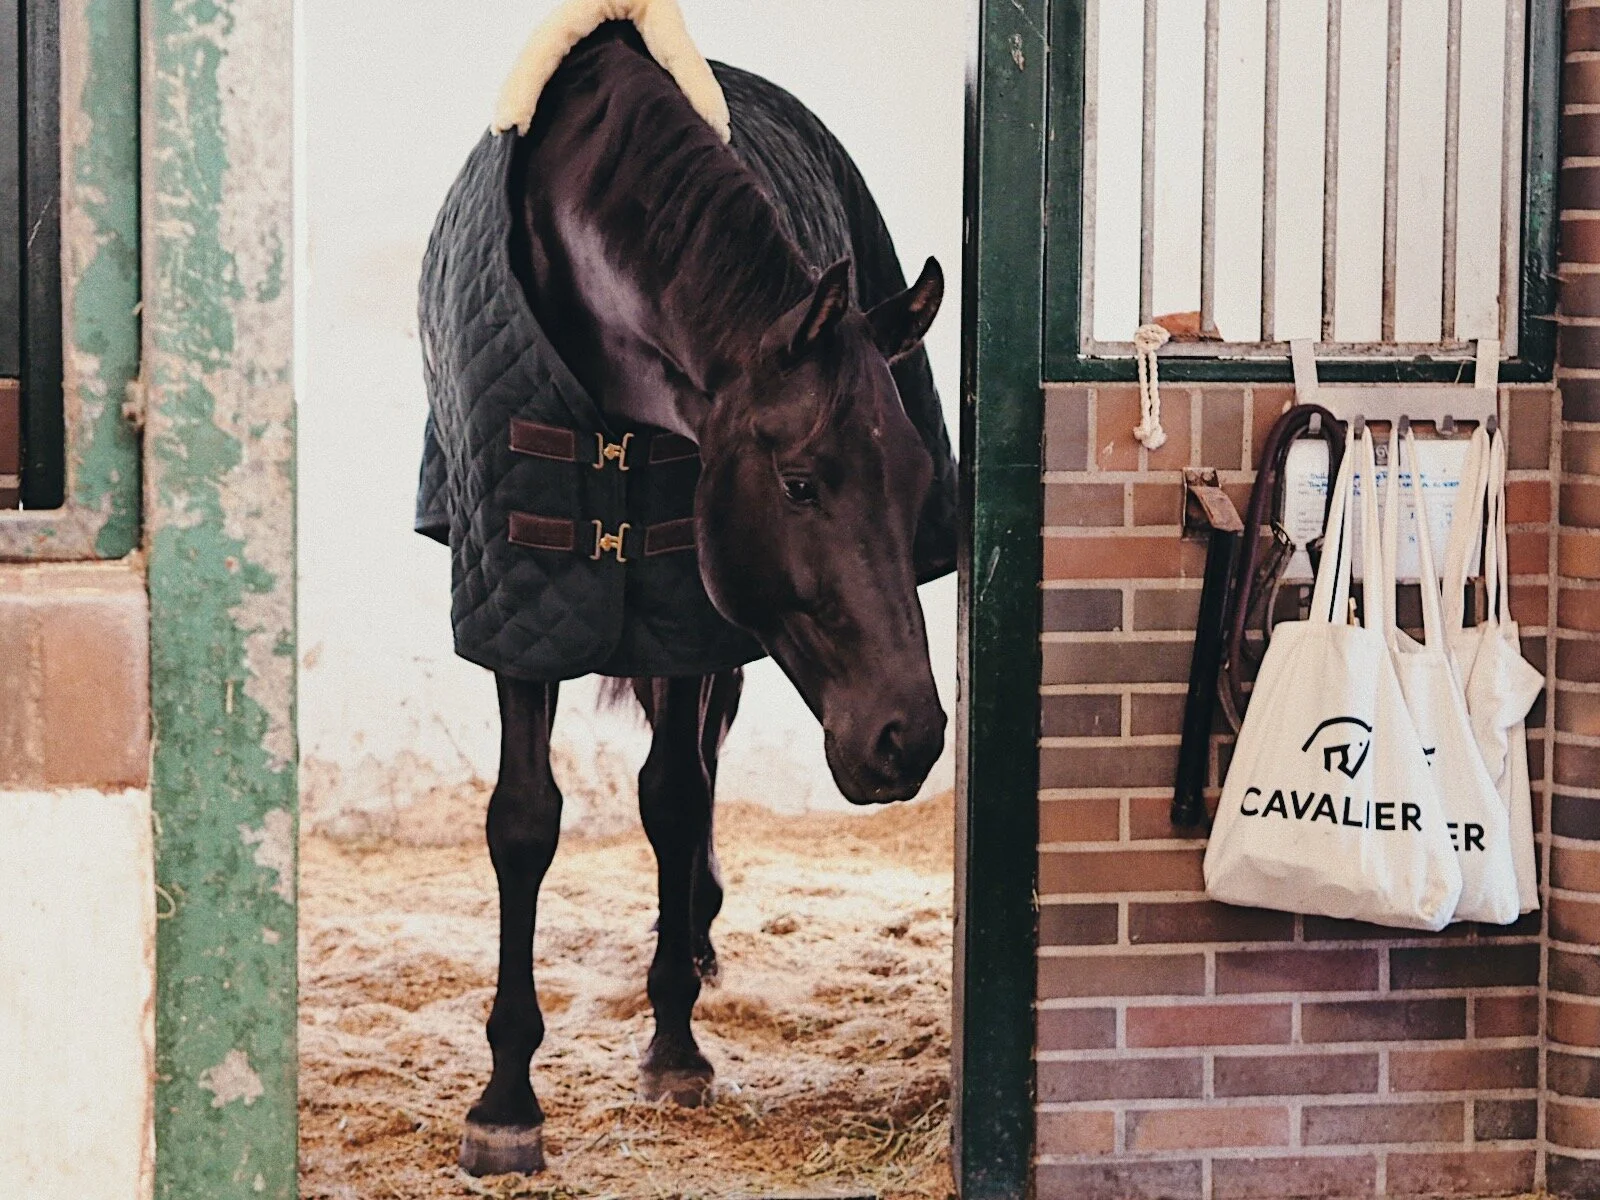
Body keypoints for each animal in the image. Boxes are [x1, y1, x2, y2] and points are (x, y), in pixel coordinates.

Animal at [421, 8, 953, 1176]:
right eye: (800, 482)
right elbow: (524, 821)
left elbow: (673, 797)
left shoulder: (684, 610)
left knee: (700, 768)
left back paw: (697, 936)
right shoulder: (516, 603)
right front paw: (505, 1101)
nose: (910, 739)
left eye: (918, 482)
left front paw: (674, 1046)